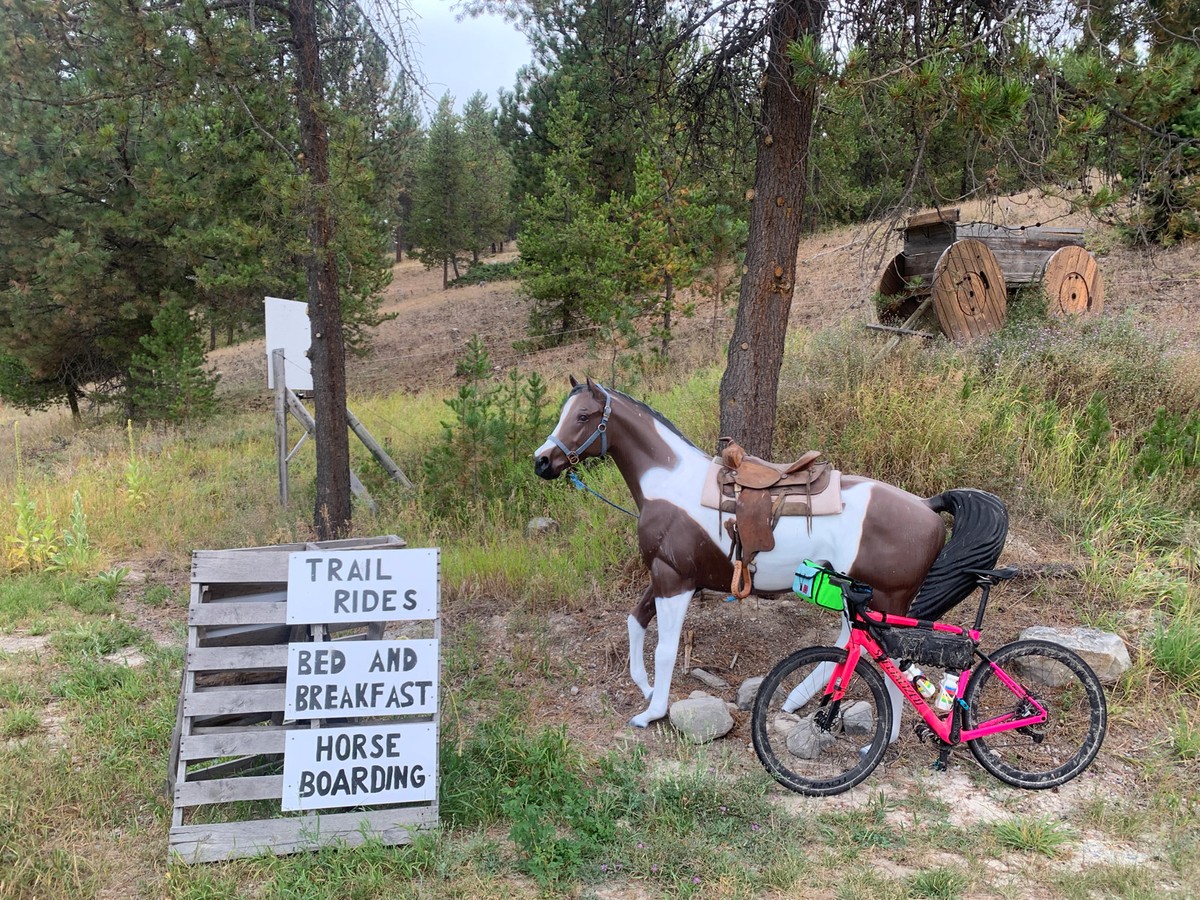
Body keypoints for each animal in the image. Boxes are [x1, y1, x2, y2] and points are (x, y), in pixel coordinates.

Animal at [540, 376, 950, 729]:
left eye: (582, 416)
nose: (540, 461)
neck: (670, 484)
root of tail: (927, 507)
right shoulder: (664, 574)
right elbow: (635, 621)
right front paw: (645, 686)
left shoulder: (675, 579)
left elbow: (666, 648)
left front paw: (652, 713)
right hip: (857, 596)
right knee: (854, 645)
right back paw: (797, 700)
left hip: (885, 600)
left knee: (887, 659)